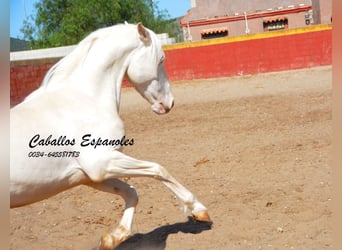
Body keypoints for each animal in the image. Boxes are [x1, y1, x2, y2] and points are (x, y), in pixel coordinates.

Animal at [10, 23, 211, 248]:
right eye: (161, 59)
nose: (169, 103)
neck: (83, 99)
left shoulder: (88, 176)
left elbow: (131, 192)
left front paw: (113, 238)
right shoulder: (102, 163)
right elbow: (159, 169)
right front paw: (199, 210)